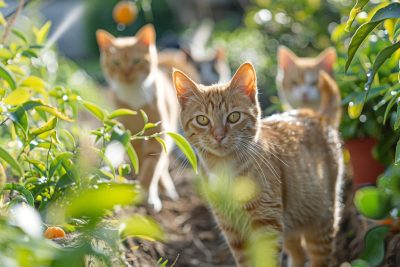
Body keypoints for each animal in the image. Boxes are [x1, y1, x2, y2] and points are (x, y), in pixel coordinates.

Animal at [96, 24, 177, 211]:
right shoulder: (131, 136)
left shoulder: (158, 136)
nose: (126, 73)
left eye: (136, 61)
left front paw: (148, 195)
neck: (133, 96)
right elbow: (140, 162)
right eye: (116, 63)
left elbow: (151, 168)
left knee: (163, 164)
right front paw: (139, 189)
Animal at [173, 61, 346, 266]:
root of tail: (316, 115)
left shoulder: (267, 225)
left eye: (233, 117)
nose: (219, 136)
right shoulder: (233, 231)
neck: (224, 168)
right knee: (298, 253)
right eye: (202, 120)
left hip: (321, 224)